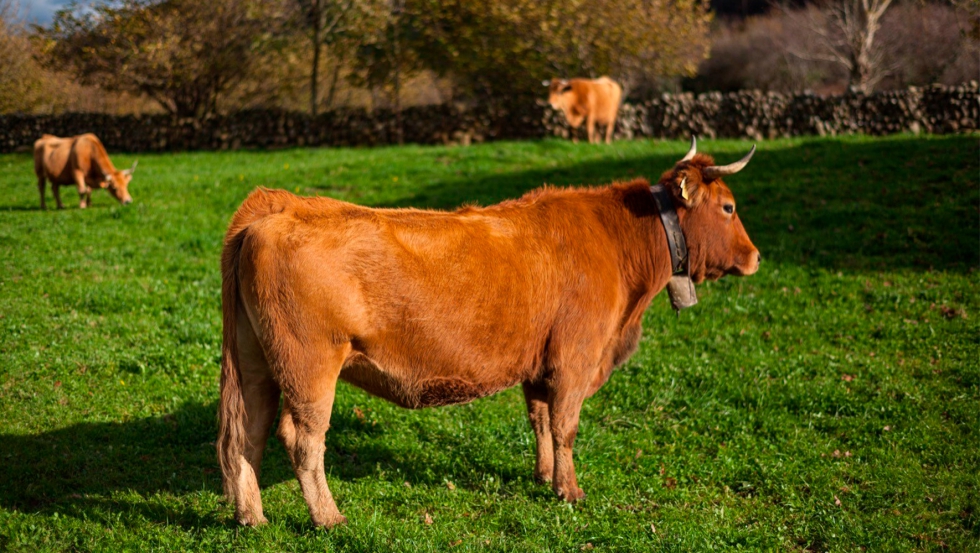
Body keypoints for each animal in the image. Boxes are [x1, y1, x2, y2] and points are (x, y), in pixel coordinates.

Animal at [218, 138, 760, 528]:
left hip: (256, 361)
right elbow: (565, 426)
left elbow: (541, 421)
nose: (755, 257)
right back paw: (328, 518)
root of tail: (280, 205)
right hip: (309, 366)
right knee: (302, 438)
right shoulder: (576, 357)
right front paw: (569, 491)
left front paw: (543, 477)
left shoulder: (540, 364)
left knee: (246, 432)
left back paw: (252, 517)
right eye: (729, 208)